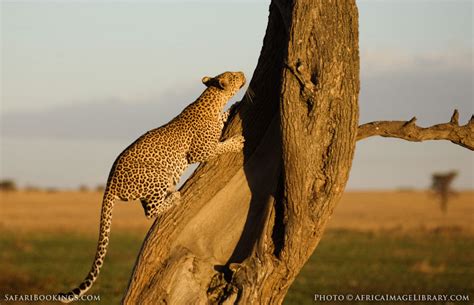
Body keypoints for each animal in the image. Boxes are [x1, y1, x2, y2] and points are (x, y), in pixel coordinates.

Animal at [57, 71, 246, 302]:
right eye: (234, 75)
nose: (243, 73)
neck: (211, 99)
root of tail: (109, 183)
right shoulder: (201, 150)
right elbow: (219, 146)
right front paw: (237, 141)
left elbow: (223, 118)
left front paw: (234, 106)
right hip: (159, 175)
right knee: (151, 211)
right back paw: (174, 196)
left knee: (147, 207)